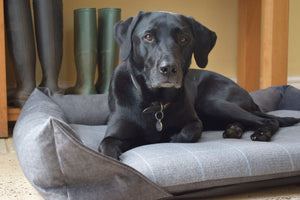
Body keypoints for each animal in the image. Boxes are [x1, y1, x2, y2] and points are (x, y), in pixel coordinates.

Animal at [99, 11, 300, 160]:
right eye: (148, 36)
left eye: (183, 38)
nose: (168, 68)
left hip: (213, 104)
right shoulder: (112, 137)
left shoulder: (194, 122)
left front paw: (171, 137)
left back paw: (261, 132)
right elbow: (108, 150)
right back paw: (234, 129)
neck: (156, 102)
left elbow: (188, 133)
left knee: (269, 120)